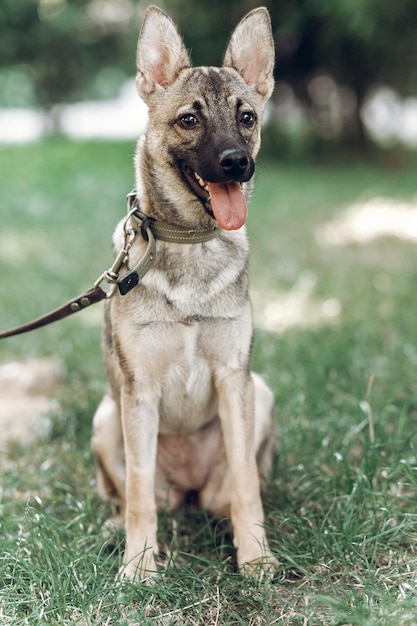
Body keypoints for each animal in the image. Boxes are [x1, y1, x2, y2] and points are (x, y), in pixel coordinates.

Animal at [92, 4, 278, 580]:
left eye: (247, 117)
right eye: (189, 120)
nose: (237, 162)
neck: (190, 243)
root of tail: (190, 490)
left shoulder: (234, 379)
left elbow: (246, 485)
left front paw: (256, 557)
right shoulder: (140, 394)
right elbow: (137, 496)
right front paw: (139, 569)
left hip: (260, 392)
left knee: (229, 492)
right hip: (106, 418)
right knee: (134, 495)